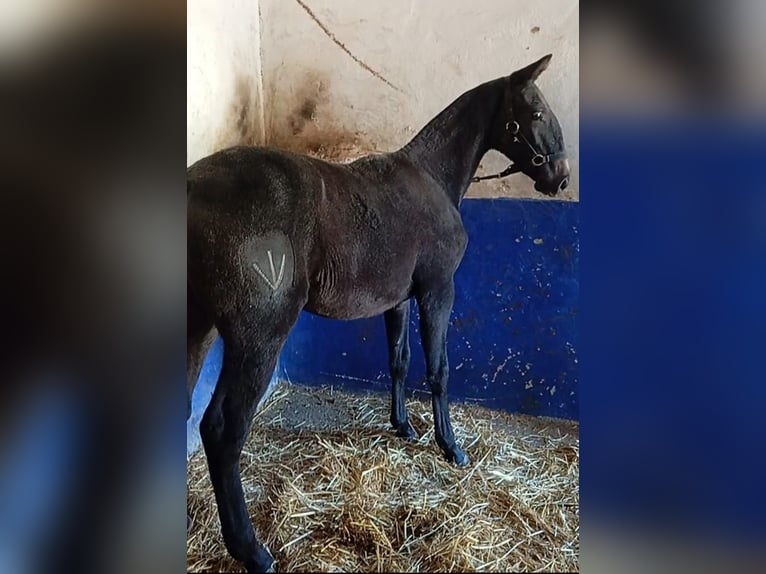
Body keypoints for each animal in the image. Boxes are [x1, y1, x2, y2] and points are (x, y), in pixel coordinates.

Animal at [186, 55, 568, 574]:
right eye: (534, 112)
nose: (560, 176)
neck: (432, 179)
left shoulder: (398, 301)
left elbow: (399, 362)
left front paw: (403, 426)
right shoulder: (437, 292)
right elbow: (439, 370)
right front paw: (451, 447)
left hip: (199, 330)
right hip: (257, 341)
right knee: (222, 430)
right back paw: (253, 551)